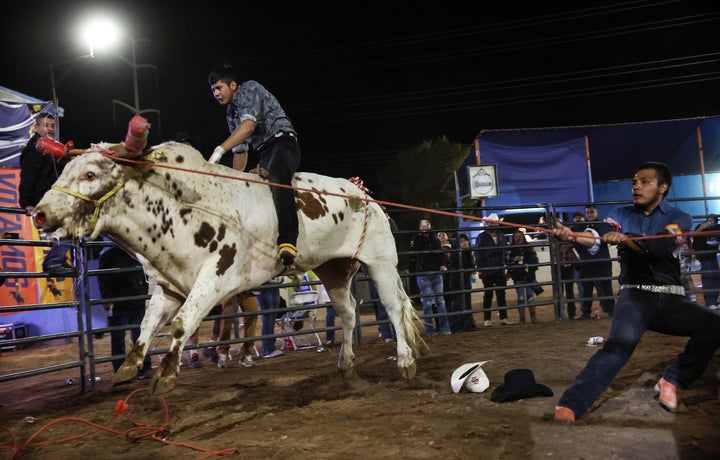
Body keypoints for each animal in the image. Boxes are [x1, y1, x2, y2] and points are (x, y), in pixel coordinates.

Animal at [33, 142, 424, 394]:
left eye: (89, 173)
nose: (39, 213)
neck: (181, 205)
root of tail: (365, 195)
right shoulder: (168, 286)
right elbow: (147, 323)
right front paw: (130, 366)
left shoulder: (216, 276)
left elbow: (182, 323)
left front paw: (167, 374)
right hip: (334, 270)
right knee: (348, 312)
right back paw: (345, 364)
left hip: (380, 263)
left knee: (393, 308)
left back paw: (405, 363)